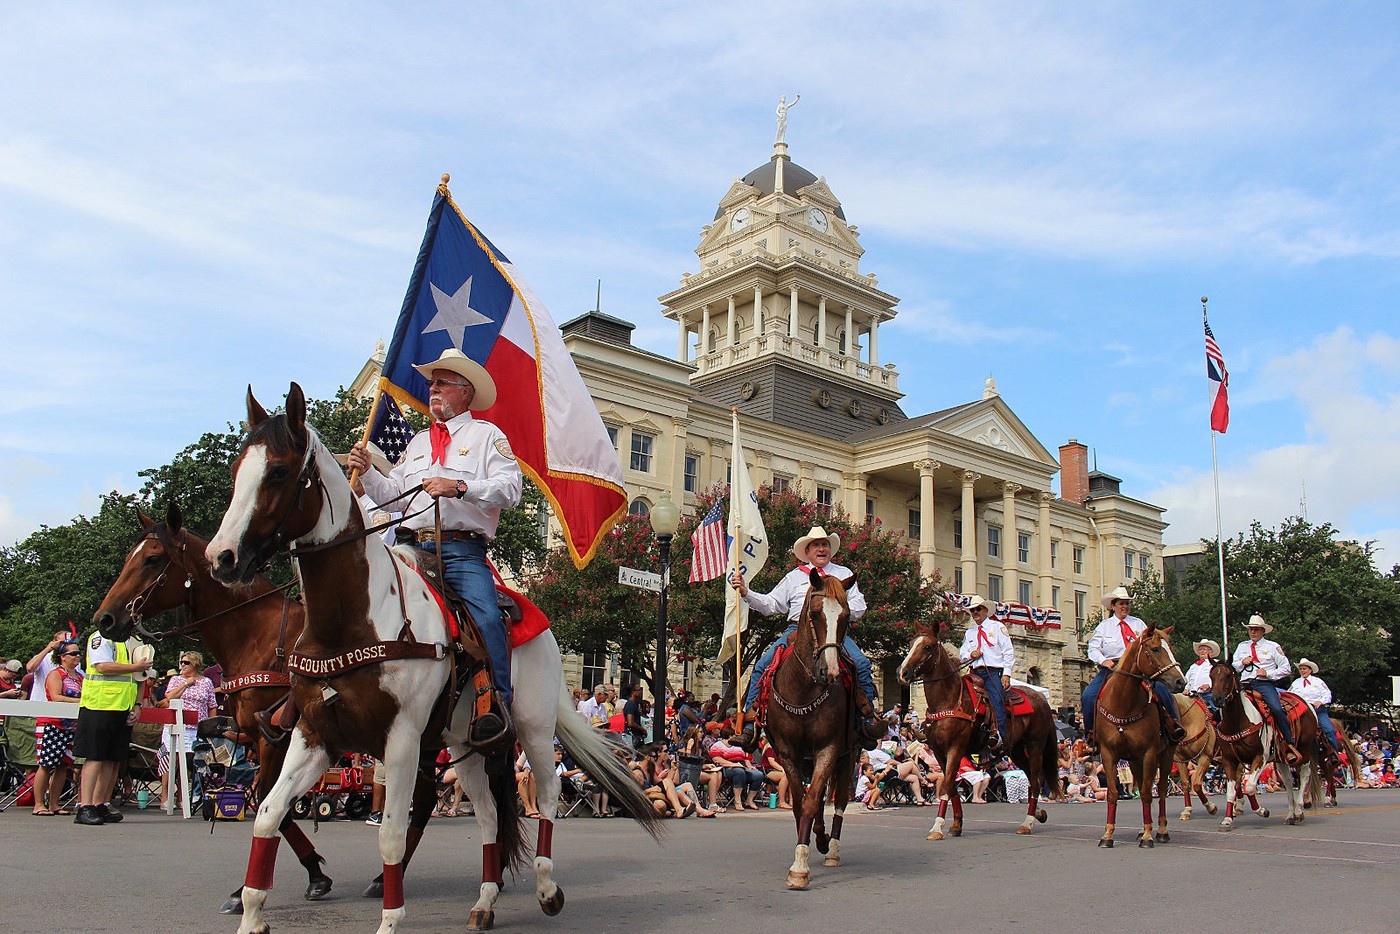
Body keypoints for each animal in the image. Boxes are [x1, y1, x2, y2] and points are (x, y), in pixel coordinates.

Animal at [207, 380, 660, 934]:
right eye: (237, 471)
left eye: (277, 471)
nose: (221, 557)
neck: (353, 620)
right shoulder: (314, 735)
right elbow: (269, 813)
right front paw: (252, 912)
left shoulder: (400, 740)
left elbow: (390, 836)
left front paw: (388, 920)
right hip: (464, 744)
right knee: (488, 814)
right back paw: (485, 901)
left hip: (531, 728)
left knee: (550, 793)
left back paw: (547, 888)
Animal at [761, 565, 856, 890]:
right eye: (815, 614)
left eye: (846, 616)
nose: (831, 672)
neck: (803, 690)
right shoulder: (788, 753)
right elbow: (801, 804)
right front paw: (803, 852)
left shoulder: (830, 749)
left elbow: (815, 799)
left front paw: (800, 866)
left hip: (849, 756)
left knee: (839, 802)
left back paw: (832, 848)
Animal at [896, 624, 1058, 845]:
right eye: (912, 643)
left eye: (927, 647)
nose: (902, 672)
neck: (948, 700)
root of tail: (1041, 697)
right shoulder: (939, 752)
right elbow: (951, 787)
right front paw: (956, 825)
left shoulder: (955, 749)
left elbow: (946, 787)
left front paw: (937, 827)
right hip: (1015, 750)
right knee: (1033, 780)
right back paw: (1038, 814)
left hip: (1035, 747)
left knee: (1035, 780)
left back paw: (1027, 823)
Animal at [1092, 624, 1181, 851]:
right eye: (1156, 649)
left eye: (1171, 649)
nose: (1180, 681)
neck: (1123, 703)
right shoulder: (1109, 754)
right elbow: (1113, 793)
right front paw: (1107, 835)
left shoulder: (1149, 753)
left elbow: (1150, 793)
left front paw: (1149, 837)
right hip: (1133, 760)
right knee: (1141, 786)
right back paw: (1142, 828)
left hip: (1166, 755)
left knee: (1161, 789)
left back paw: (1161, 831)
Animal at [1209, 660, 1316, 828]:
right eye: (1211, 676)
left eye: (1228, 675)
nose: (1217, 699)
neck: (1237, 722)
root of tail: (1308, 705)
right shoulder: (1229, 760)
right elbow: (1232, 791)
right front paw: (1227, 820)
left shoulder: (1260, 758)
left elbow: (1250, 787)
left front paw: (1262, 811)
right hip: (1281, 758)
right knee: (1288, 781)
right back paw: (1290, 815)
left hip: (1304, 751)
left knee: (1304, 775)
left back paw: (1298, 812)